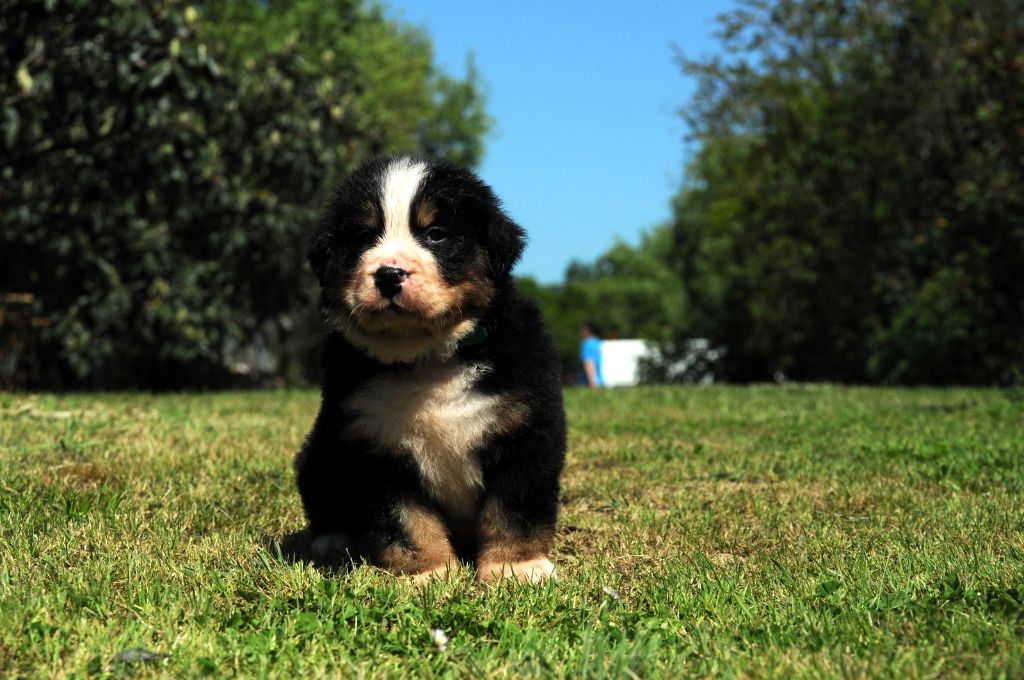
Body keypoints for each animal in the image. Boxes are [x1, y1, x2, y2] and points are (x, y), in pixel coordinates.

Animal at [297, 155, 566, 584]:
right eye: (363, 237)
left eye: (436, 234)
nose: (389, 274)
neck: (430, 359)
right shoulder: (373, 444)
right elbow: (408, 520)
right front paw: (429, 572)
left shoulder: (524, 429)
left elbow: (513, 509)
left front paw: (516, 567)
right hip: (318, 453)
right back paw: (334, 540)